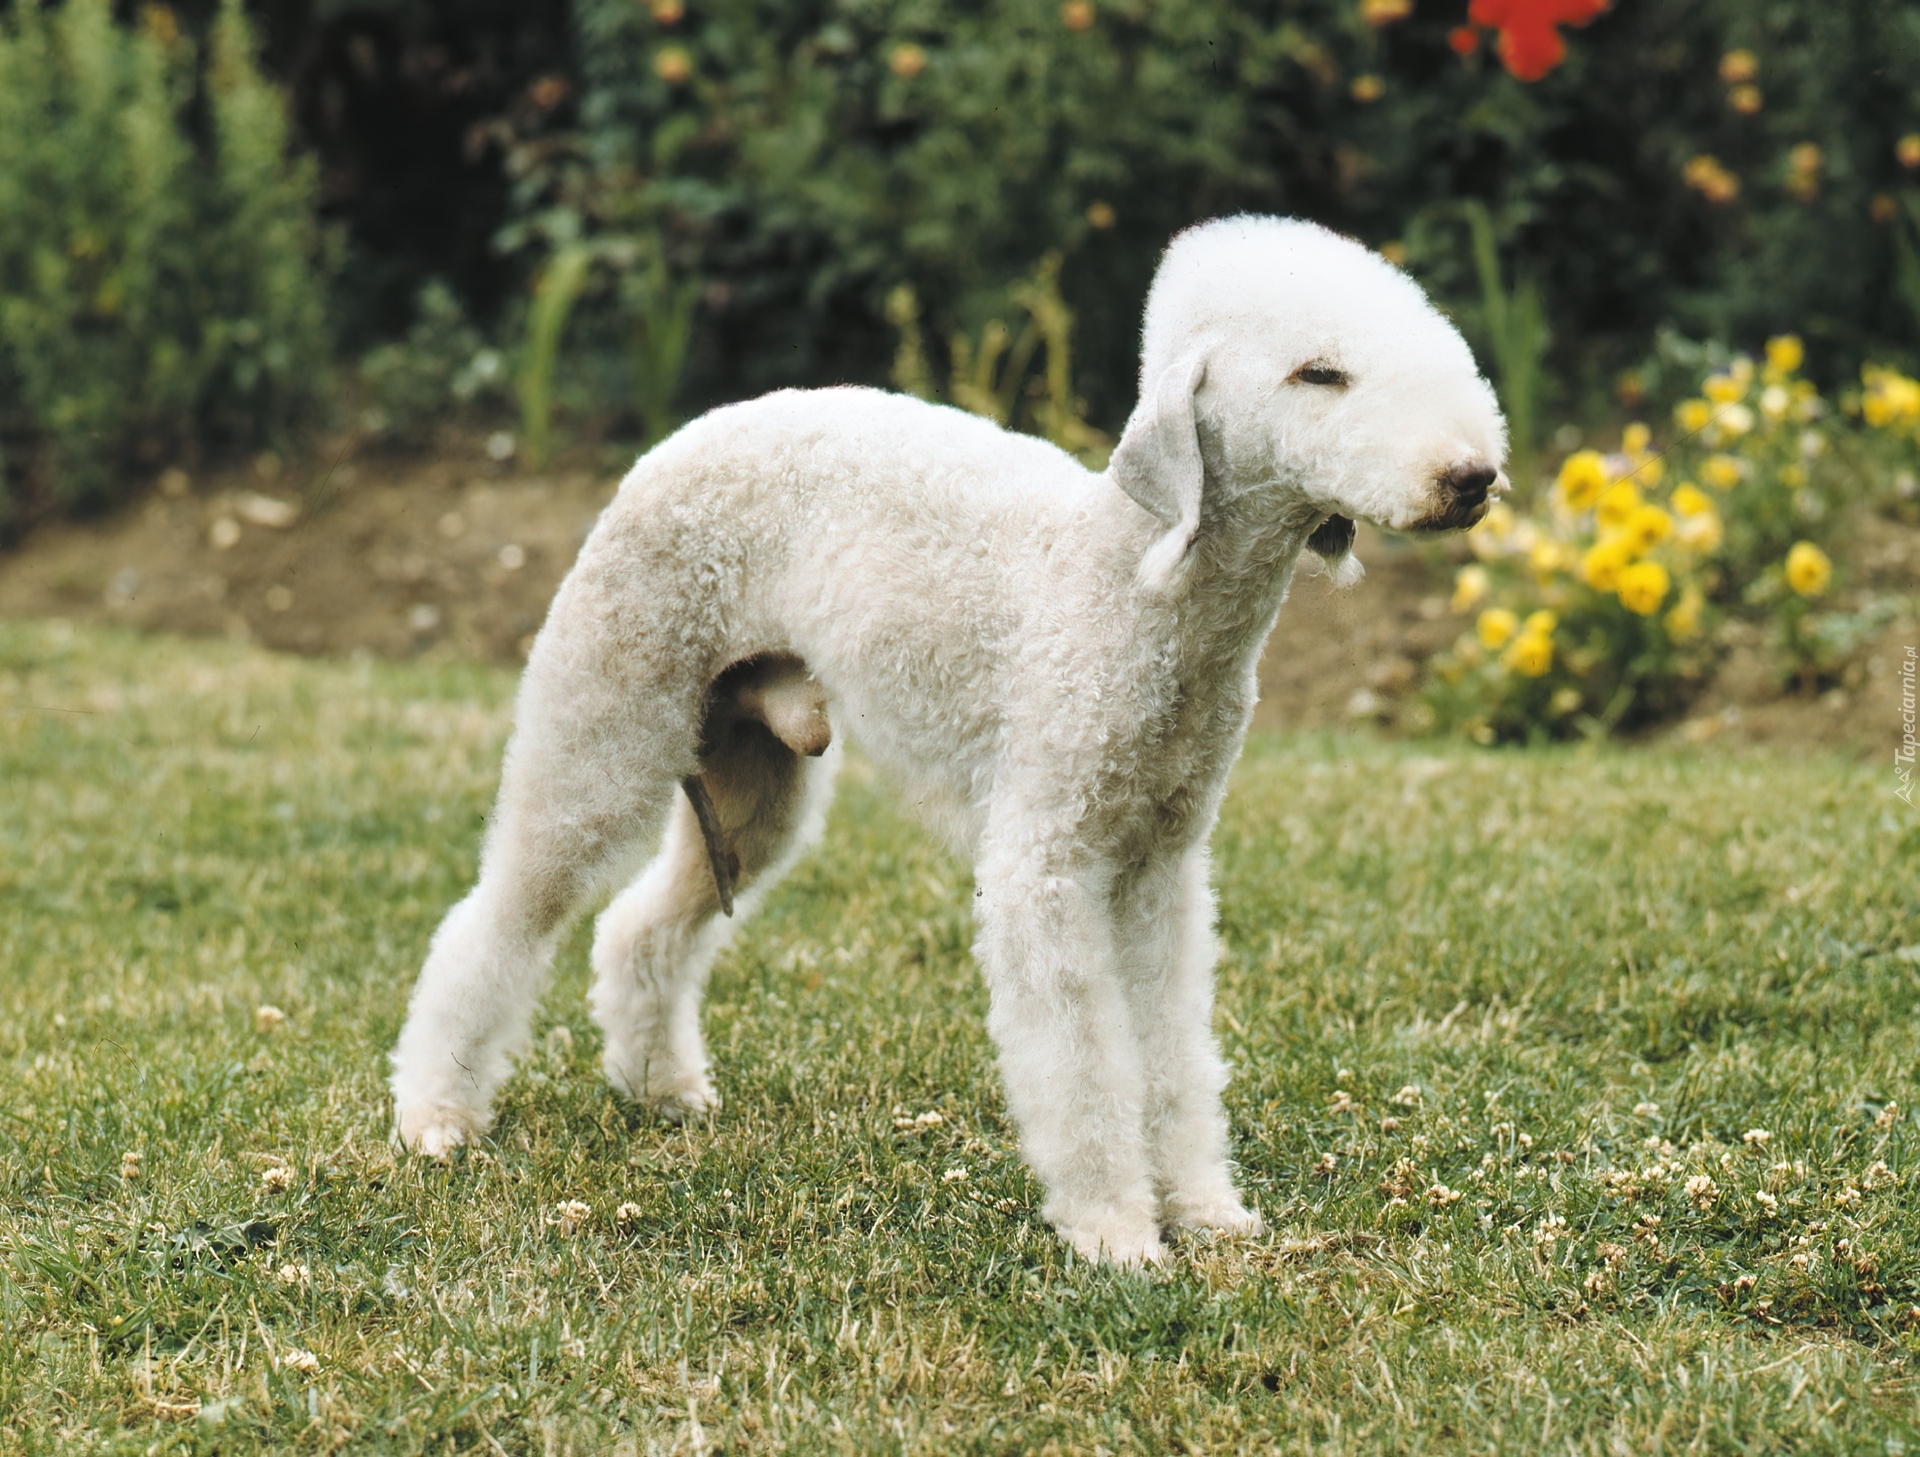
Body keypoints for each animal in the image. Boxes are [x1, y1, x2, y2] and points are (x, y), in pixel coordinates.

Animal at [385, 214, 1497, 1266]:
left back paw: (661, 1088)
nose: (1475, 476)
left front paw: (1207, 1213)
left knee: (640, 926)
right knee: (497, 919)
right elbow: (1082, 1063)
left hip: (755, 780)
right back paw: (435, 1115)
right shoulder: (1045, 862)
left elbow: (1172, 1054)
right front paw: (1114, 1233)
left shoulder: (1161, 866)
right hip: (604, 724)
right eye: (1320, 373)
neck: (1136, 585)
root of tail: (674, 440)